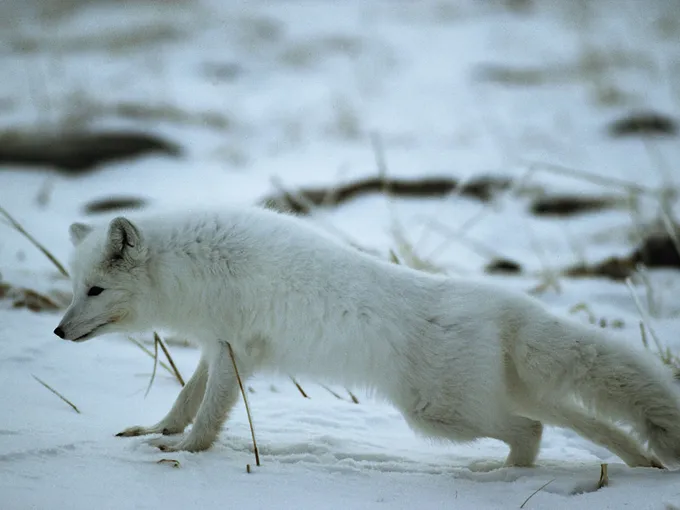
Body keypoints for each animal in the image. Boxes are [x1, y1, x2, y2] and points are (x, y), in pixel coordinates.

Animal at [54, 207, 680, 469]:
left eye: (95, 290)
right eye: (75, 287)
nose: (58, 330)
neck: (194, 265)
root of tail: (500, 304)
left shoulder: (236, 350)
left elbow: (209, 414)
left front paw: (184, 451)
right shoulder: (218, 346)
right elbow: (186, 397)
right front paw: (157, 430)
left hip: (437, 415)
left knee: (533, 430)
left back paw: (502, 474)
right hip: (488, 400)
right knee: (583, 425)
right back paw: (643, 466)